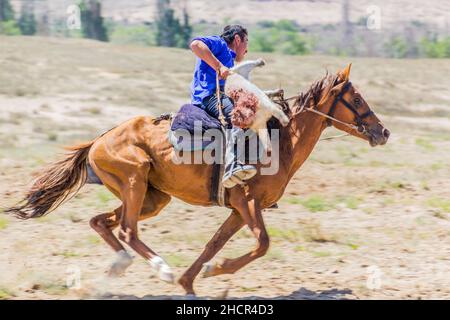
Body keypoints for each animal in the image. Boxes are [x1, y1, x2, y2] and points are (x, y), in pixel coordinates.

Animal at [5, 64, 388, 296]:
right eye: (356, 99)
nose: (382, 132)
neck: (279, 140)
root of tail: (98, 140)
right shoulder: (246, 202)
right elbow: (262, 244)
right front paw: (213, 271)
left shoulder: (237, 209)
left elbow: (214, 244)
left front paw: (192, 280)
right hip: (135, 182)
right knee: (127, 229)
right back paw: (160, 268)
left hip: (153, 198)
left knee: (101, 221)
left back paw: (121, 264)